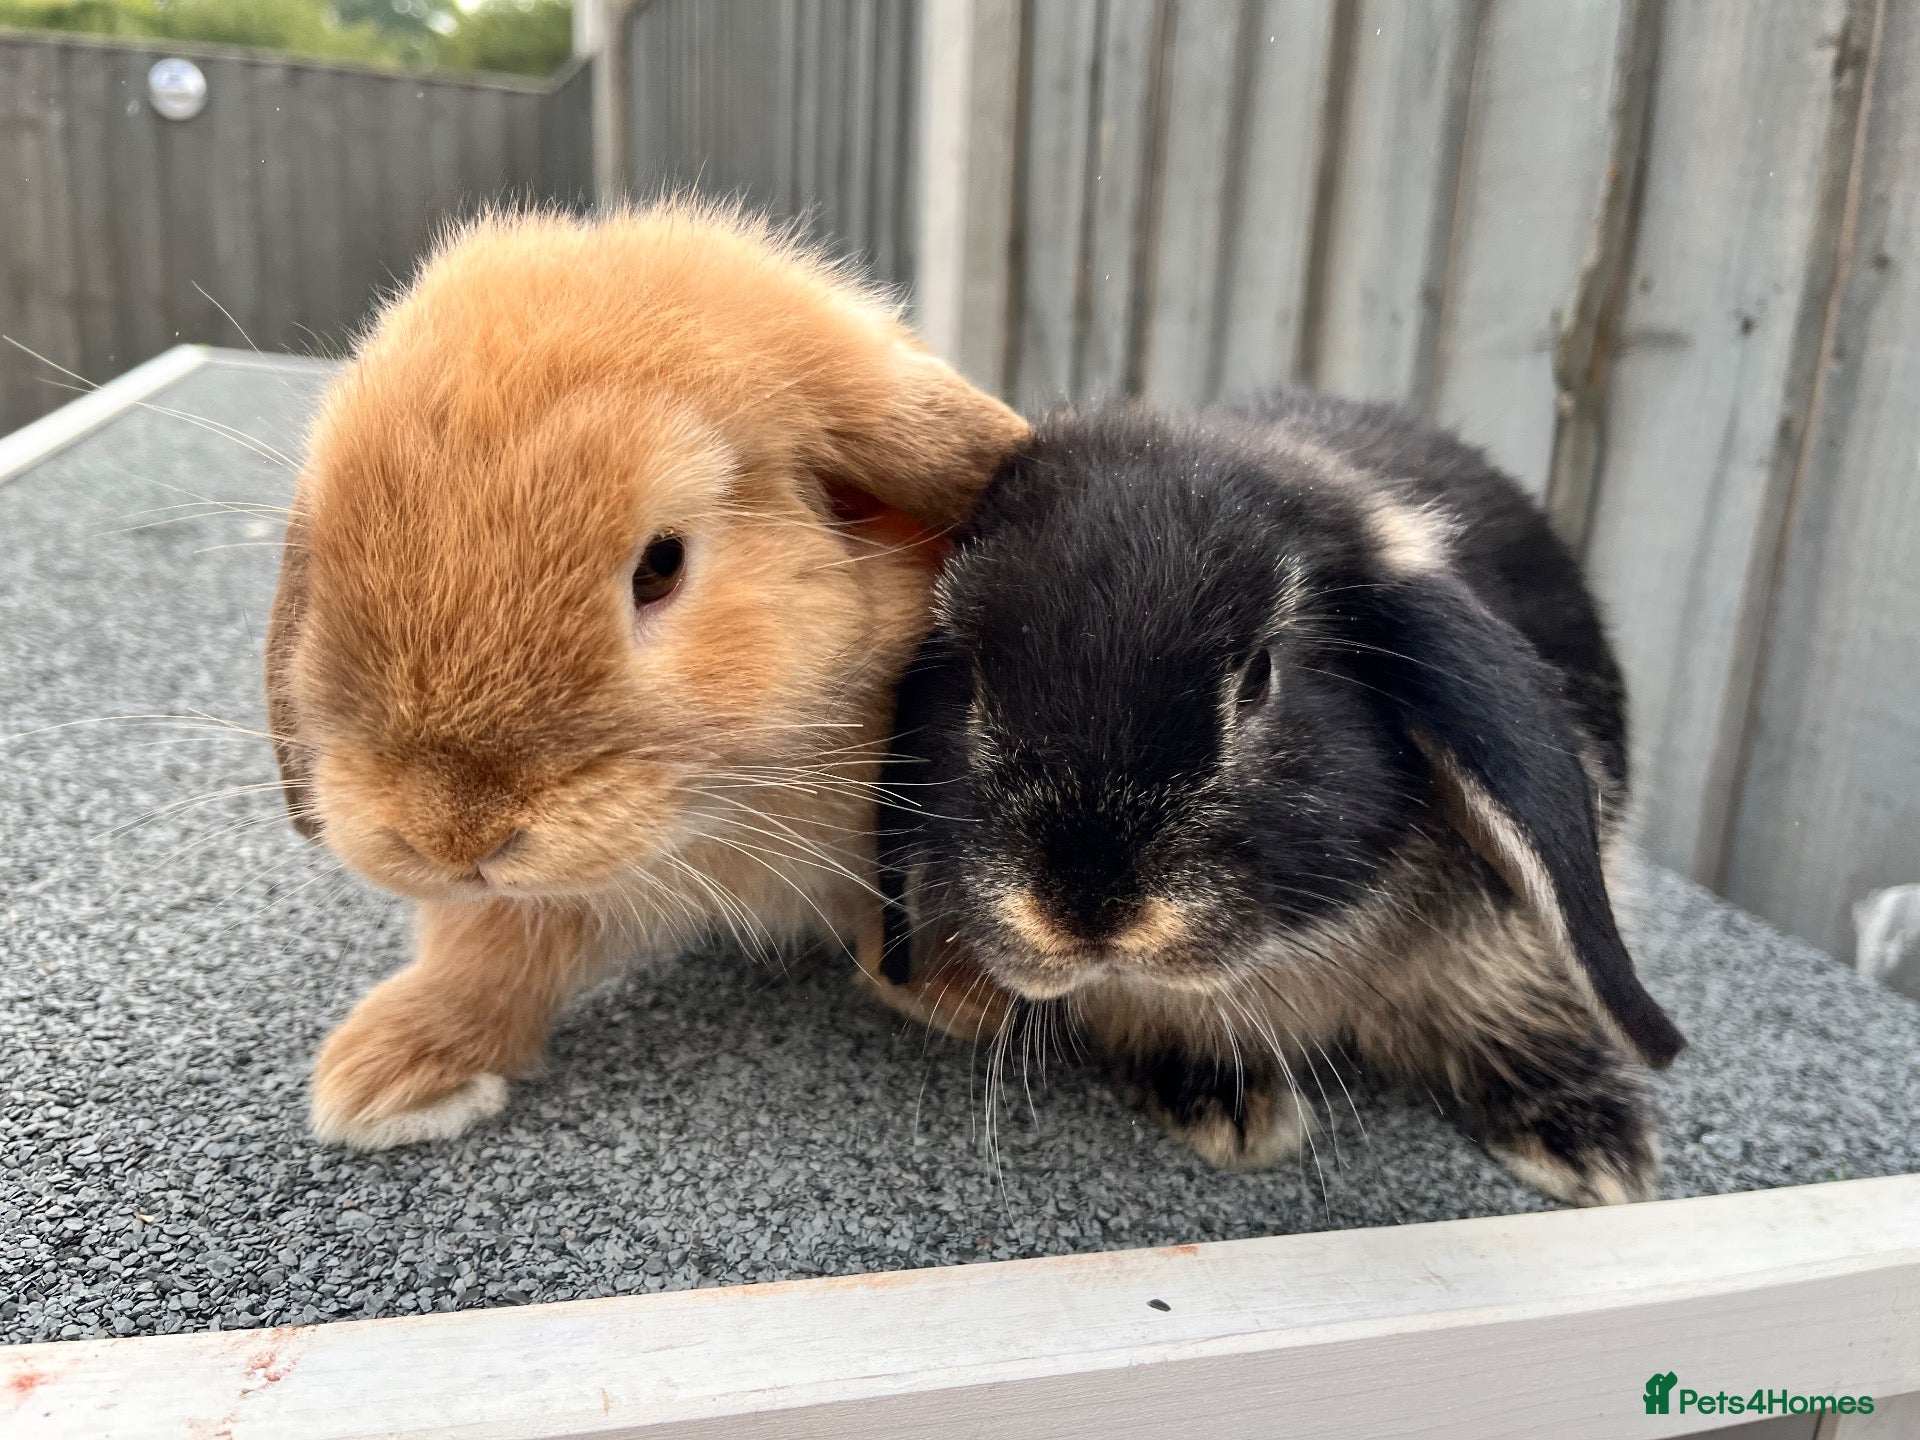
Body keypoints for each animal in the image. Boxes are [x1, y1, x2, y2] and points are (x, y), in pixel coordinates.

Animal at [267, 203, 1029, 1149]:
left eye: (661, 566)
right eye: (330, 562)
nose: (454, 840)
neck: (728, 807)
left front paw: (963, 999)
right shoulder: (535, 902)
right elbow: (488, 952)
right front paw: (390, 1072)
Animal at [875, 390, 1687, 1206]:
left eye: (1260, 676)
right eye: (971, 682)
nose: (1085, 909)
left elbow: (1527, 1001)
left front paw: (1599, 1150)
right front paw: (1226, 1105)